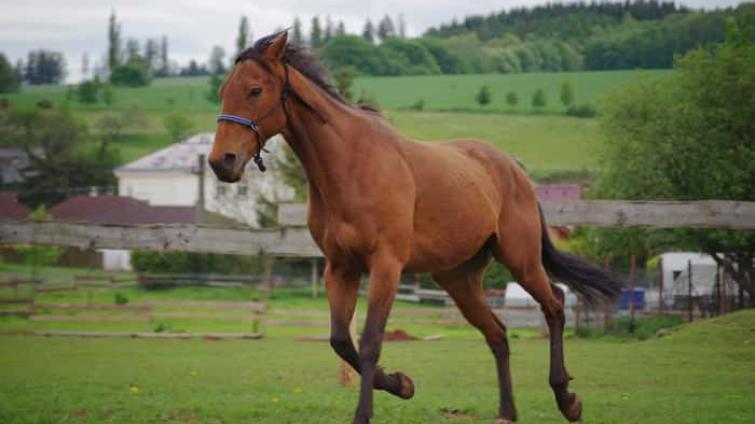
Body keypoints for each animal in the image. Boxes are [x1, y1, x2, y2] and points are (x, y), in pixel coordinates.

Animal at [210, 30, 624, 424]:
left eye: (254, 90)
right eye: (222, 92)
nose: (221, 162)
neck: (352, 165)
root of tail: (514, 168)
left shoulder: (386, 266)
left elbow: (370, 341)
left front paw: (366, 412)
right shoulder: (340, 268)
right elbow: (342, 341)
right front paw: (402, 383)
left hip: (521, 260)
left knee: (554, 305)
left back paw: (567, 400)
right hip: (459, 280)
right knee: (498, 334)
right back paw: (507, 411)